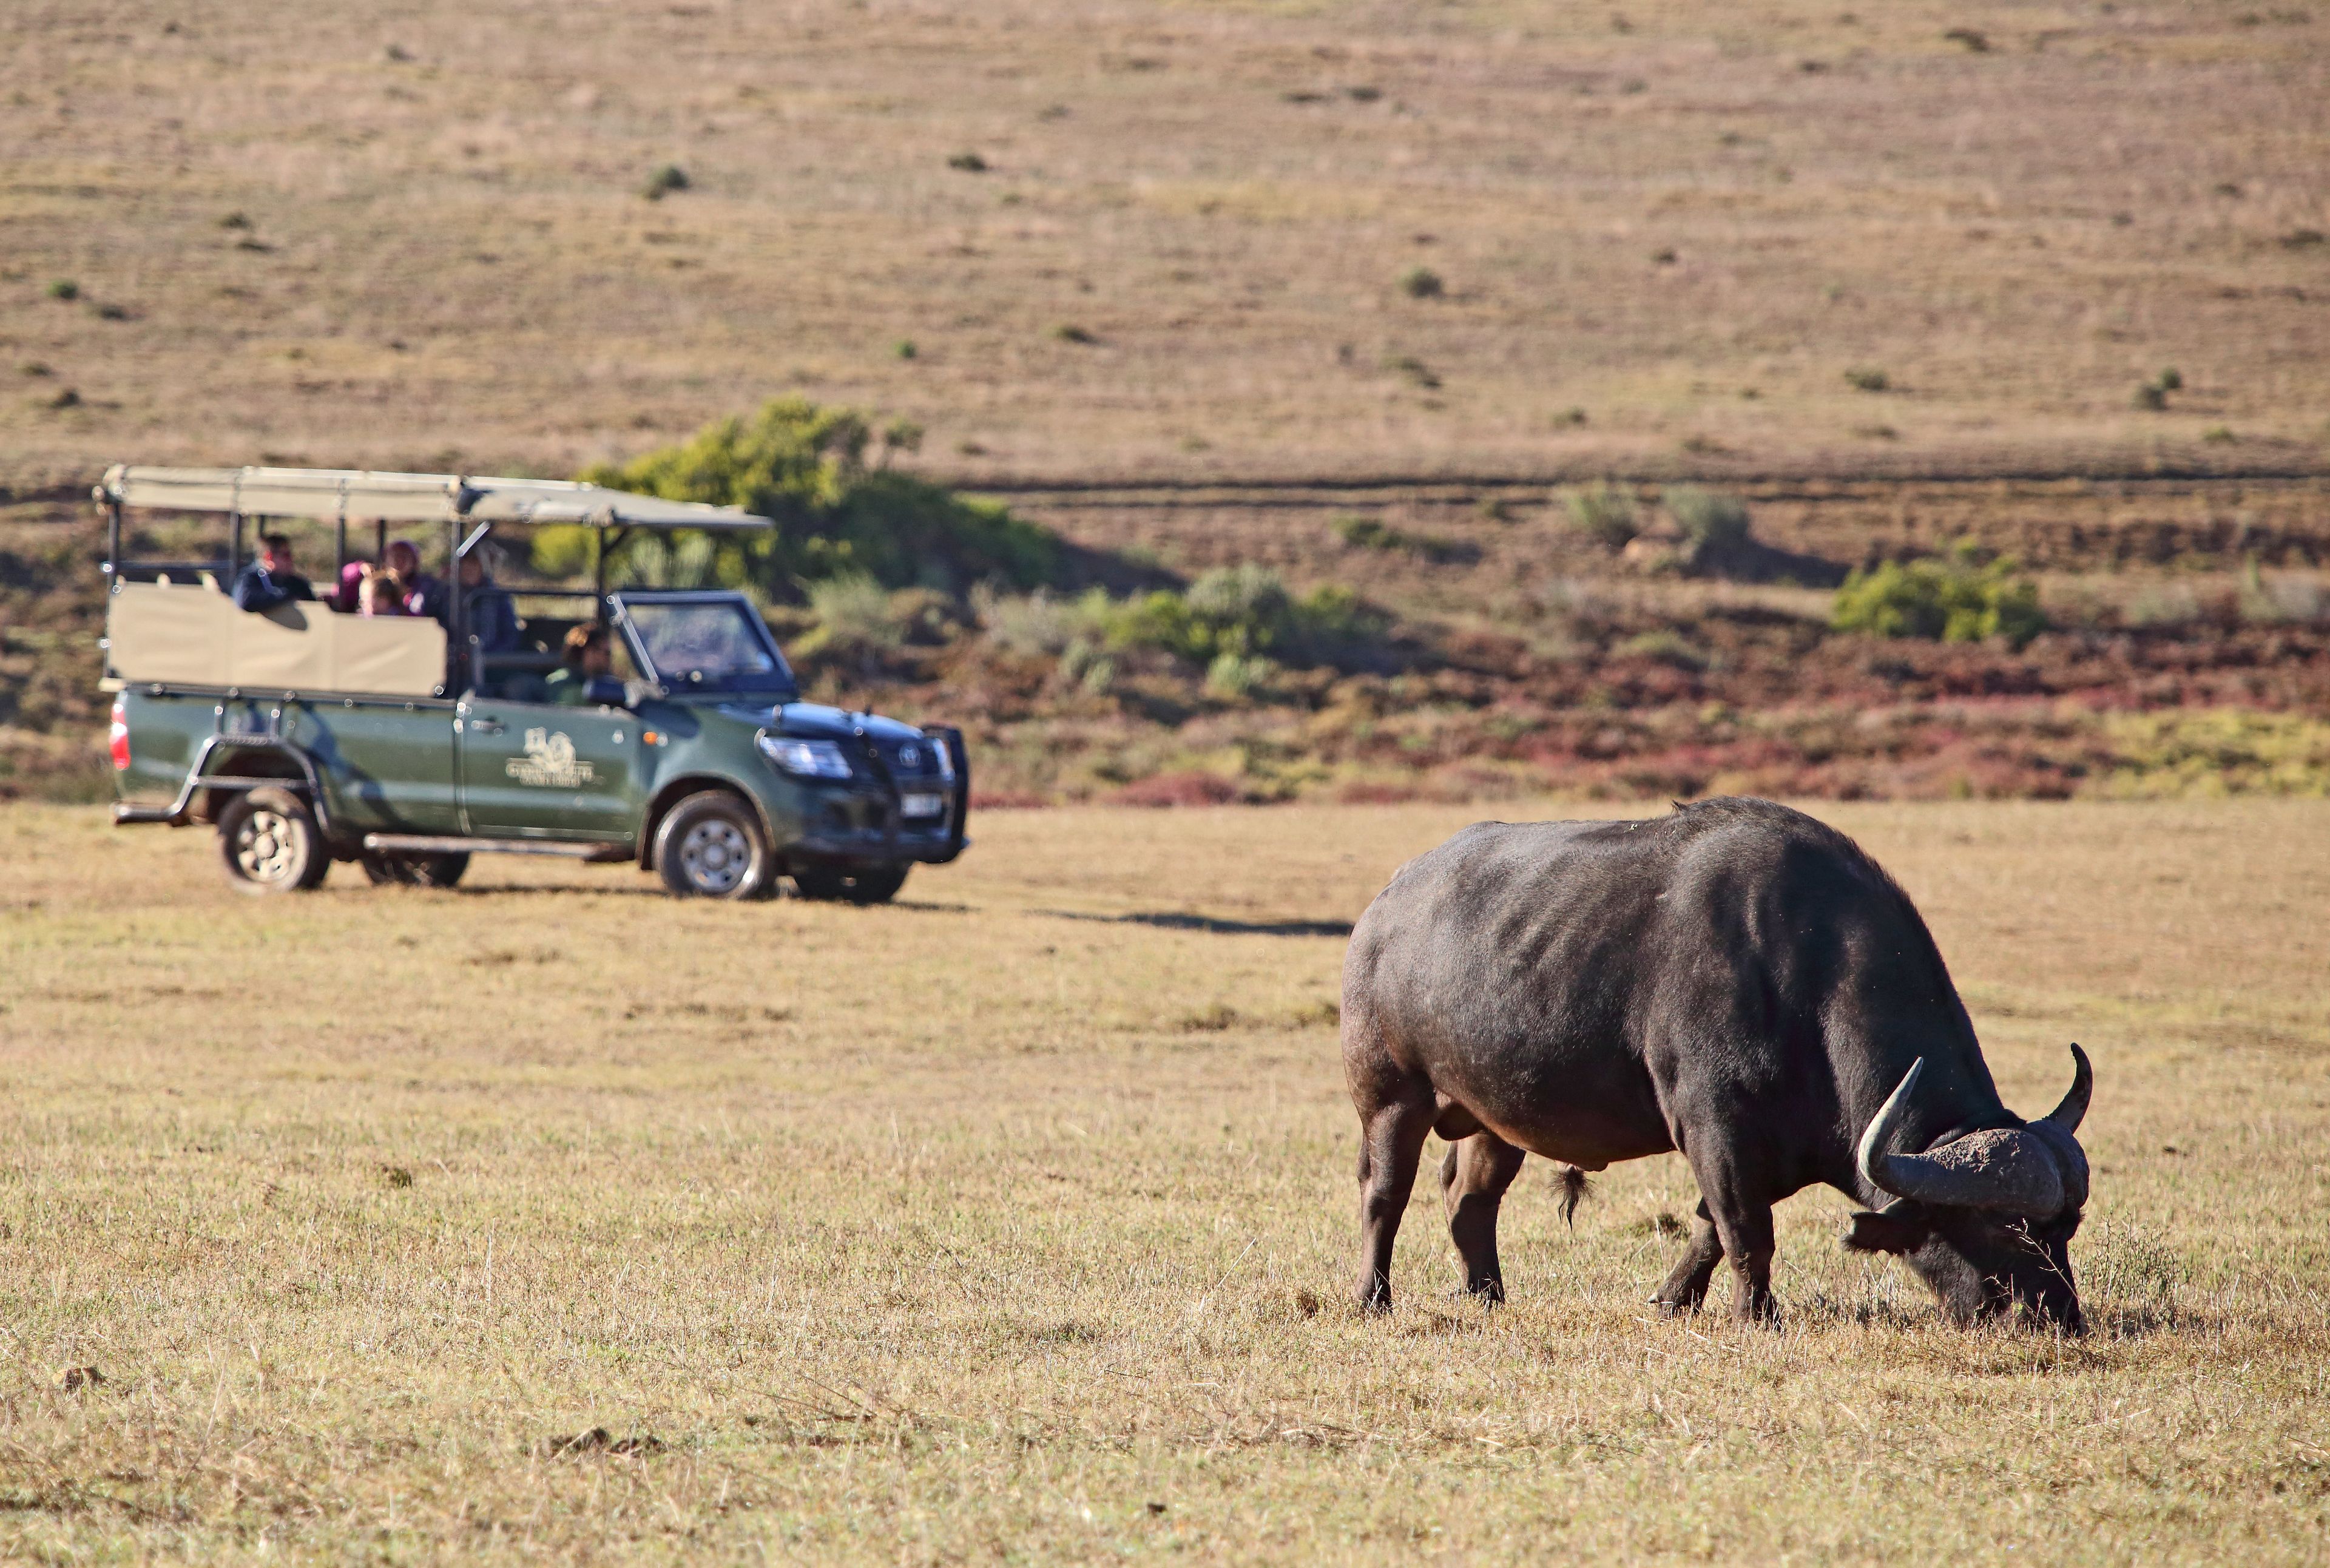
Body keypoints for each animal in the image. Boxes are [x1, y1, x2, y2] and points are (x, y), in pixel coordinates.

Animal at [1341, 797, 2093, 1329]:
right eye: (2001, 1226)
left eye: (2066, 1228)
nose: (2057, 1318)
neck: (1807, 980)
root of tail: (1386, 905)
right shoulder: (1714, 1127)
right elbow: (1745, 1230)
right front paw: (1757, 1316)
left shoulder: (1776, 1149)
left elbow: (1711, 1228)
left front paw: (1674, 1300)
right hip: (1391, 1096)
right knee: (1386, 1194)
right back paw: (1373, 1297)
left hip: (1496, 1117)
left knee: (1470, 1200)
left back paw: (1488, 1295)